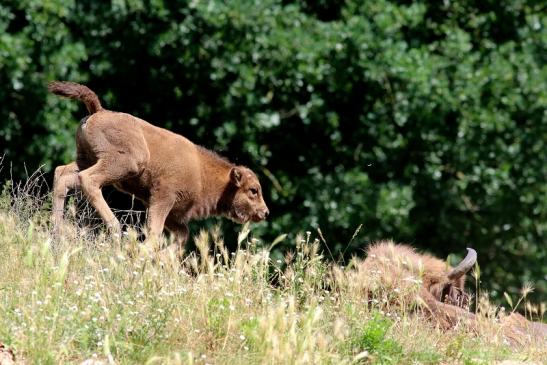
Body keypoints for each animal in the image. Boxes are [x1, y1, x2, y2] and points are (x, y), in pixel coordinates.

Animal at [50, 81, 268, 249]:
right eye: (253, 190)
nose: (265, 212)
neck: (201, 170)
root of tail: (100, 110)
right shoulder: (163, 199)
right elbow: (155, 232)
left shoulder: (173, 214)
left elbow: (182, 236)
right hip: (126, 164)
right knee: (88, 179)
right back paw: (115, 228)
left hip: (86, 159)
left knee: (63, 175)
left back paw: (58, 229)